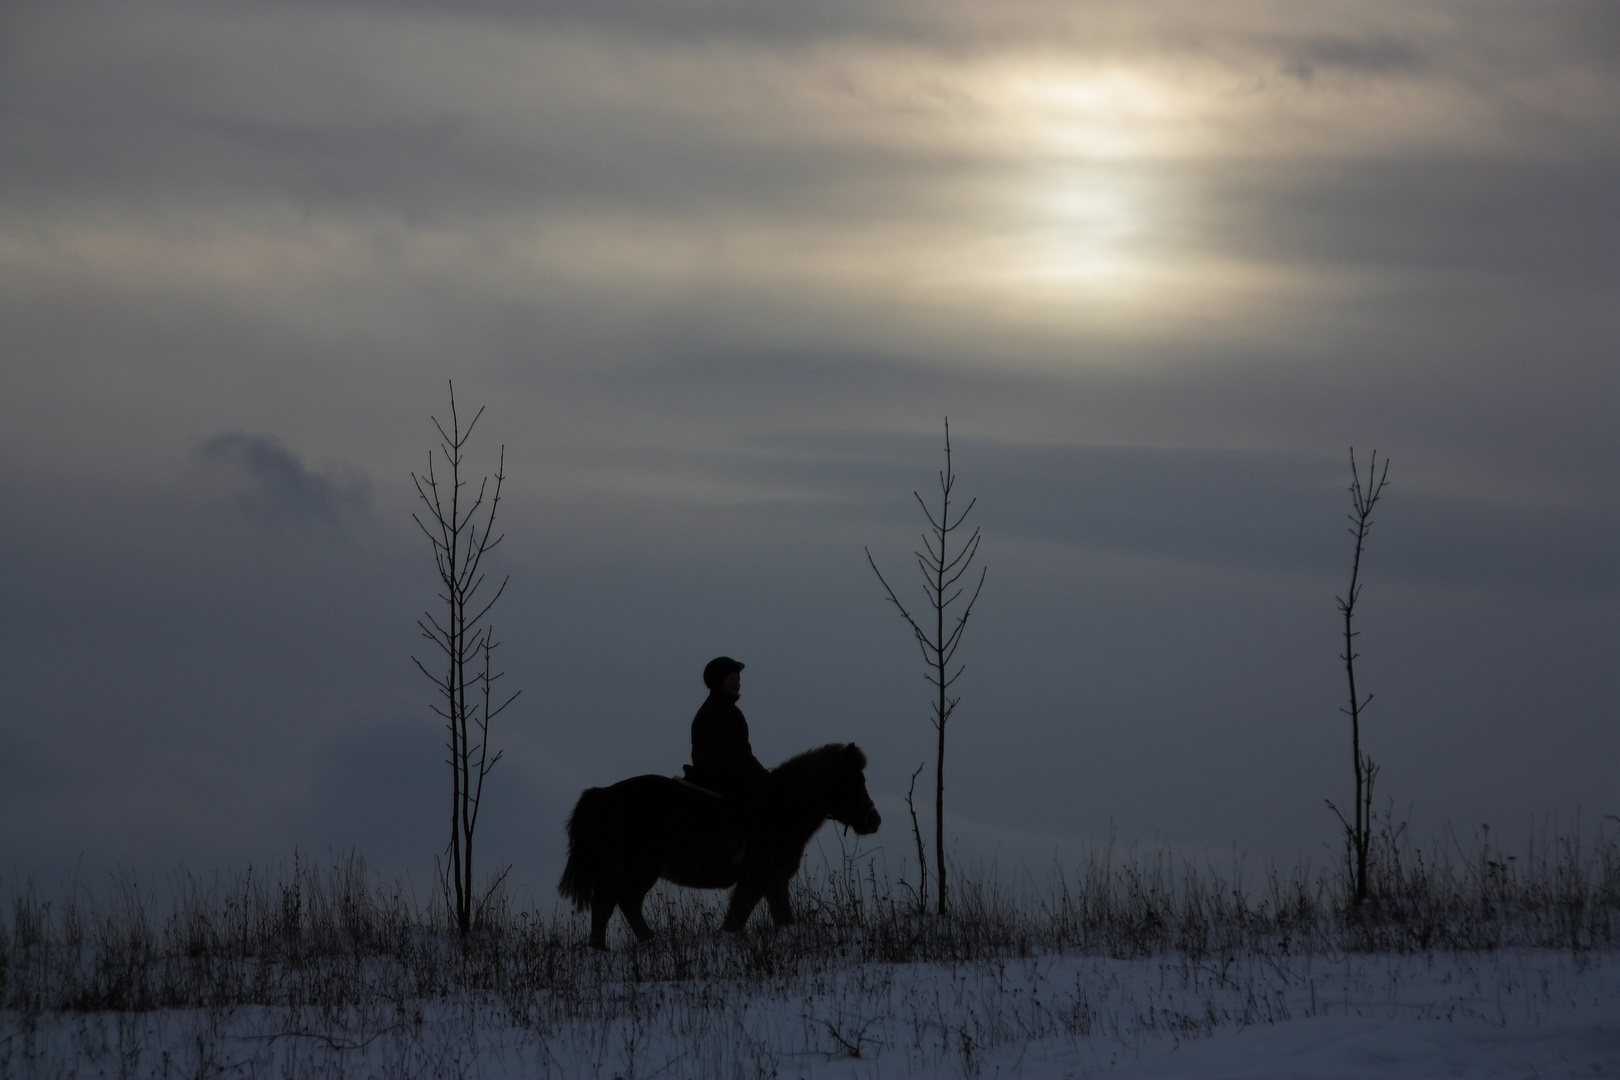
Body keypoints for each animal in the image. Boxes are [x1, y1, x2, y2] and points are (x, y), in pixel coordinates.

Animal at [560, 748, 887, 952]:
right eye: (856, 779)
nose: (873, 820)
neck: (781, 807)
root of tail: (602, 796)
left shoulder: (773, 880)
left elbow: (780, 917)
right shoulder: (757, 878)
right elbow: (737, 918)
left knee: (606, 906)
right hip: (640, 869)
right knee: (623, 903)